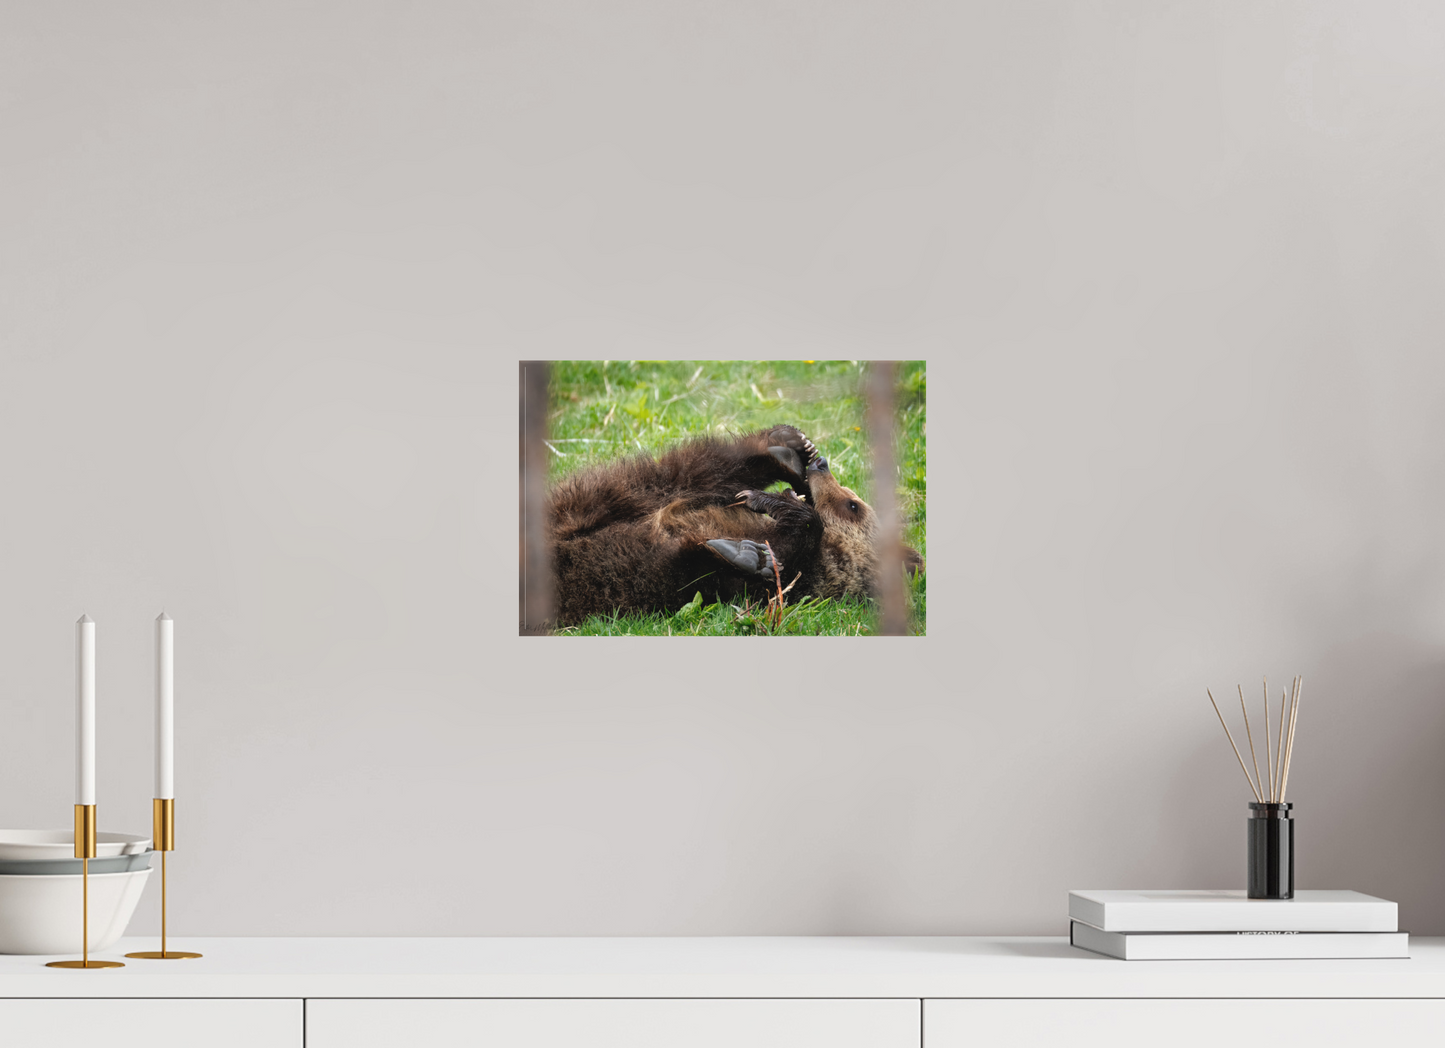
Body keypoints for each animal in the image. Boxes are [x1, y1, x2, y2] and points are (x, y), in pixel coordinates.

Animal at [545, 424, 923, 626]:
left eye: (852, 506)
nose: (821, 465)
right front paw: (774, 496)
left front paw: (752, 551)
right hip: (595, 500)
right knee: (682, 473)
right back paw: (785, 448)